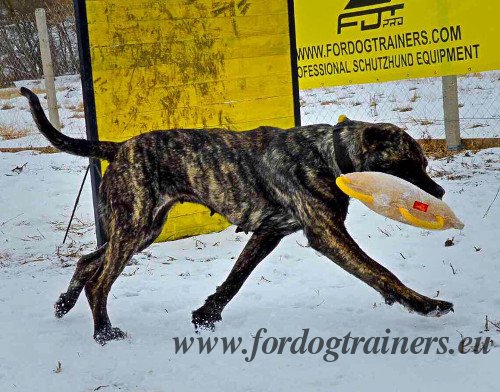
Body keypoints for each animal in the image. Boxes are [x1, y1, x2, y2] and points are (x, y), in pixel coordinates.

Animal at [21, 87, 454, 344]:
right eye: (409, 166)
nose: (440, 193)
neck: (330, 156)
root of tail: (119, 147)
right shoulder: (328, 235)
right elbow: (382, 273)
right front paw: (426, 305)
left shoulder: (267, 233)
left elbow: (234, 280)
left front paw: (205, 314)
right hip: (134, 229)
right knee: (100, 280)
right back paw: (104, 333)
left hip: (141, 229)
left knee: (87, 261)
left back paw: (64, 303)